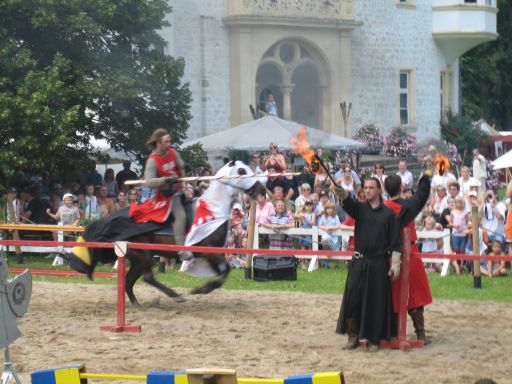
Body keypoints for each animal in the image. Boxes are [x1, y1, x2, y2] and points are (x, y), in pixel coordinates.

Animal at [66, 161, 266, 306]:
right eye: (241, 170)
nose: (261, 189)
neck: (213, 209)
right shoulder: (208, 252)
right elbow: (224, 273)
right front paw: (199, 290)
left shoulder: (212, 255)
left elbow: (224, 273)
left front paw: (204, 289)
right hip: (143, 254)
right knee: (147, 277)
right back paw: (174, 295)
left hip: (138, 258)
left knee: (129, 281)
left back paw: (136, 304)